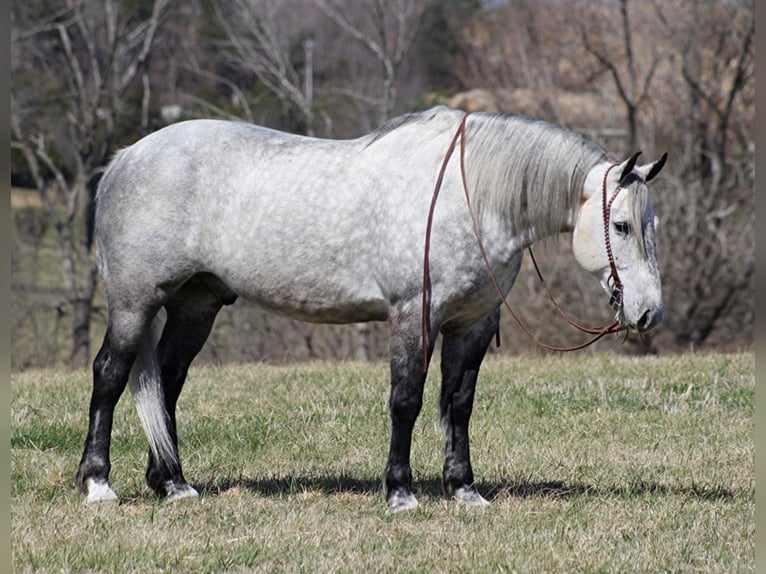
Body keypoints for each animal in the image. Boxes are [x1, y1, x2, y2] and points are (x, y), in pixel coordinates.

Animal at [75, 106, 668, 516]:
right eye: (621, 226)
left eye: (651, 225)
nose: (649, 313)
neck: (470, 196)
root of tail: (122, 160)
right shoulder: (413, 315)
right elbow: (406, 401)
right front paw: (400, 493)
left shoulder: (473, 324)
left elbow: (458, 404)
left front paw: (463, 489)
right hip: (134, 303)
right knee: (110, 375)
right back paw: (98, 483)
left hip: (196, 306)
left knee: (167, 382)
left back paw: (173, 484)